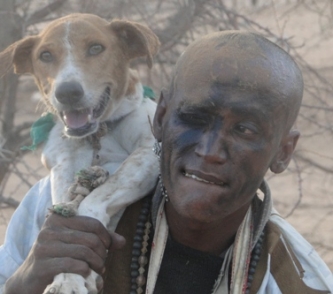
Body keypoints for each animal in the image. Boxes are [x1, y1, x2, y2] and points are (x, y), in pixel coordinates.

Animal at [0, 13, 160, 294]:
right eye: (45, 55)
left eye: (96, 48)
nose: (67, 92)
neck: (98, 137)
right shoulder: (63, 164)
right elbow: (66, 212)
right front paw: (67, 279)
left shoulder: (149, 153)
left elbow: (93, 200)